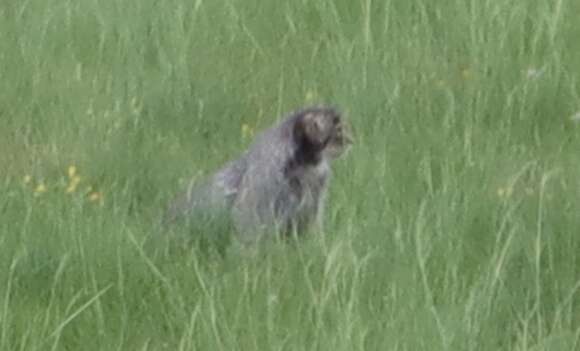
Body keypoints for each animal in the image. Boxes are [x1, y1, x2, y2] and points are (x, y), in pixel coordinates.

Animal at [164, 106, 354, 246]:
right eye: (338, 130)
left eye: (343, 127)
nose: (352, 140)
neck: (306, 168)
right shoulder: (261, 200)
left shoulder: (313, 204)